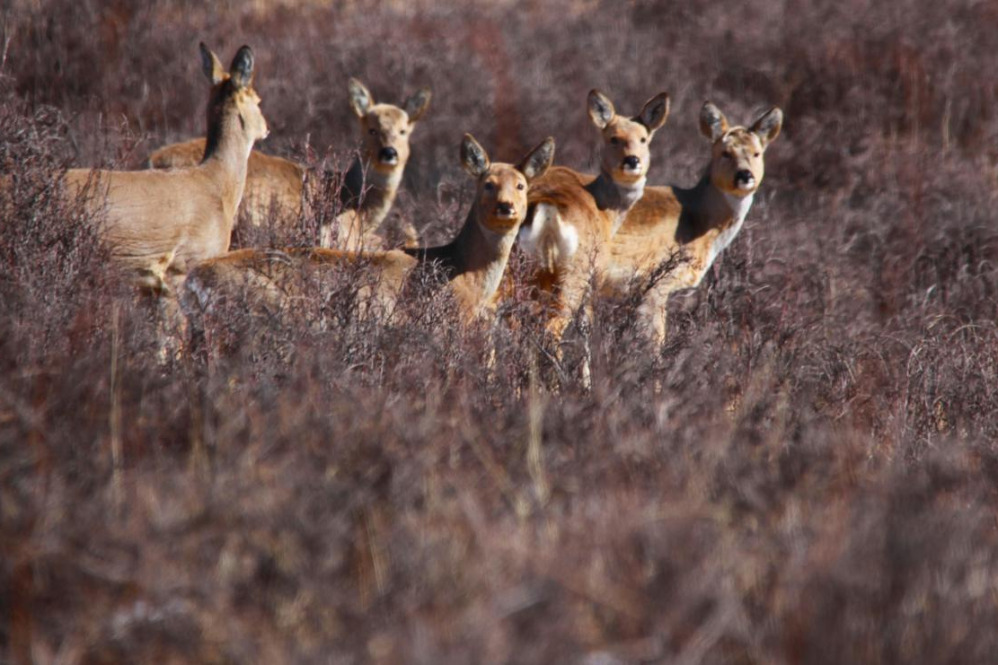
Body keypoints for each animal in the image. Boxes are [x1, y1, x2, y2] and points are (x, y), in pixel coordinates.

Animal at [181, 133, 555, 357]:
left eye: (521, 185)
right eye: (487, 184)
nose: (506, 207)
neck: (463, 276)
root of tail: (192, 283)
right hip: (258, 318)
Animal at [514, 89, 670, 343]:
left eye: (643, 139)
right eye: (613, 138)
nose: (632, 160)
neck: (606, 210)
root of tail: (547, 210)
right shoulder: (597, 274)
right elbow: (587, 326)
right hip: (573, 274)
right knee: (551, 327)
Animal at [603, 102, 784, 346]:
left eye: (757, 153)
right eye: (725, 153)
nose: (745, 175)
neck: (699, 222)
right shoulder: (656, 284)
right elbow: (655, 341)